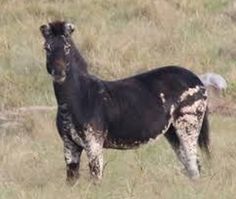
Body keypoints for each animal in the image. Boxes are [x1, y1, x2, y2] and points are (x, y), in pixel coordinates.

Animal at [39, 21, 210, 184]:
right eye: (47, 48)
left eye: (67, 47)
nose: (59, 73)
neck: (75, 100)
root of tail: (195, 77)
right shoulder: (69, 146)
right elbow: (71, 181)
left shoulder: (94, 143)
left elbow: (96, 179)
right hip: (173, 131)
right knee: (192, 165)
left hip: (188, 123)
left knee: (193, 166)